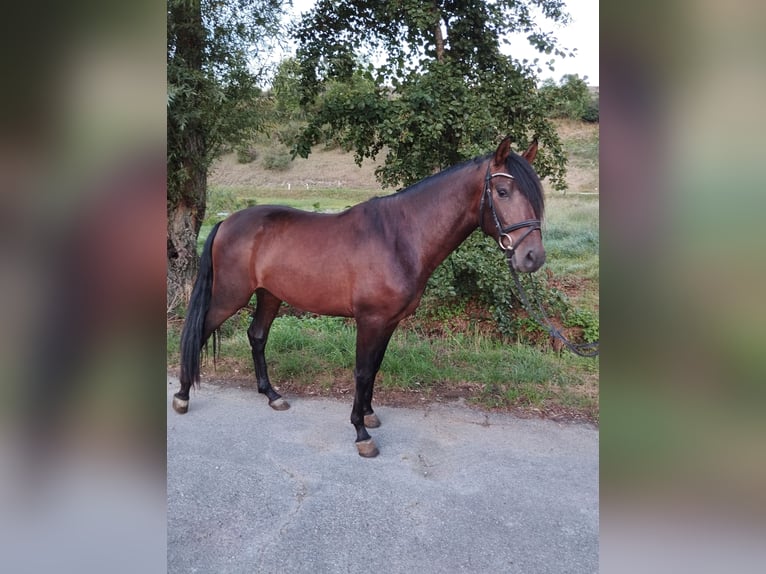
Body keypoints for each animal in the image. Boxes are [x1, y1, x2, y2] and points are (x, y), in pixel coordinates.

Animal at [174, 138, 544, 460]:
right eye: (502, 191)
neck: (399, 238)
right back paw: (182, 396)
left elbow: (375, 367)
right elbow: (363, 371)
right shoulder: (370, 320)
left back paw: (272, 395)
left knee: (257, 336)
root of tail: (226, 222)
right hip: (230, 296)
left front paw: (368, 414)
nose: (533, 257)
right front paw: (361, 434)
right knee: (199, 332)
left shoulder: (388, 322)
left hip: (269, 295)